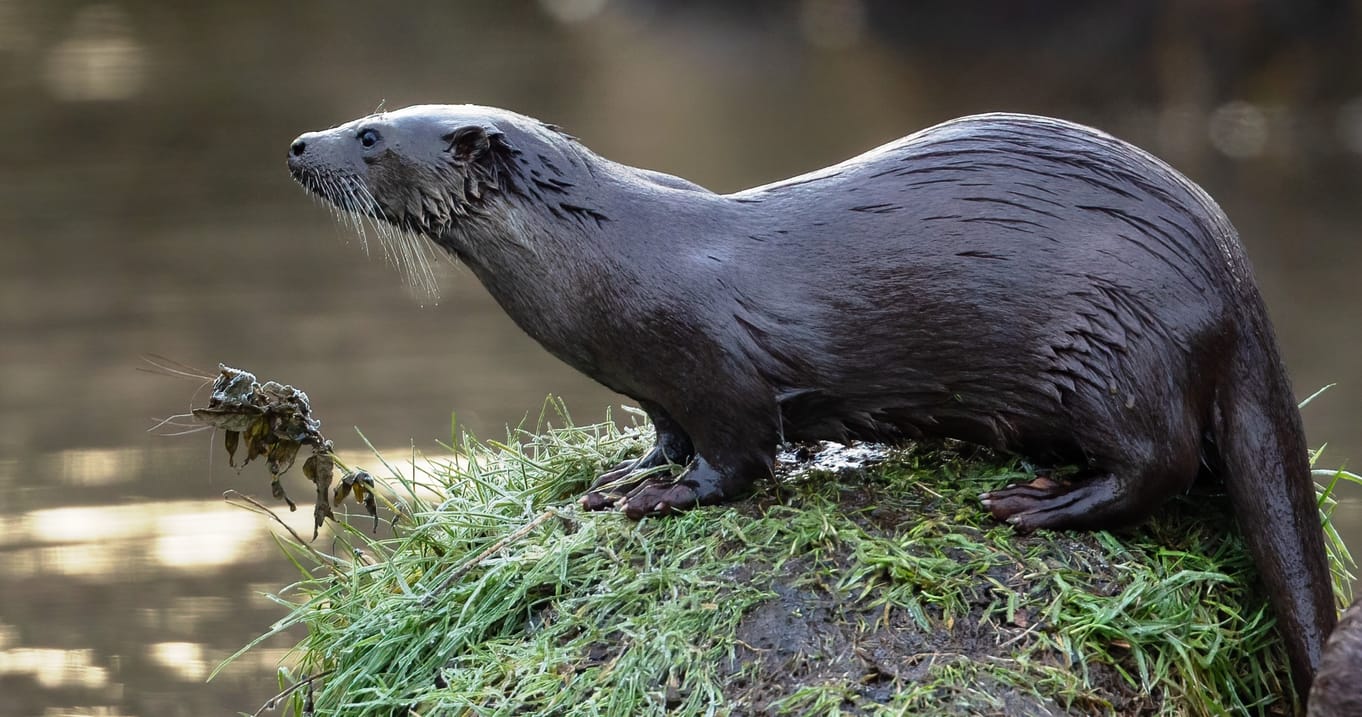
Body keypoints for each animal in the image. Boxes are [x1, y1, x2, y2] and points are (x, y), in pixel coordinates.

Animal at [287, 104, 1340, 703]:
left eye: (372, 136)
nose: (298, 142)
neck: (602, 259)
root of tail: (1228, 265)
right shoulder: (660, 388)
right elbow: (664, 432)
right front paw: (627, 472)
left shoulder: (714, 368)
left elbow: (741, 456)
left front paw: (664, 496)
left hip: (1114, 347)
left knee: (1160, 460)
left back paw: (1041, 501)